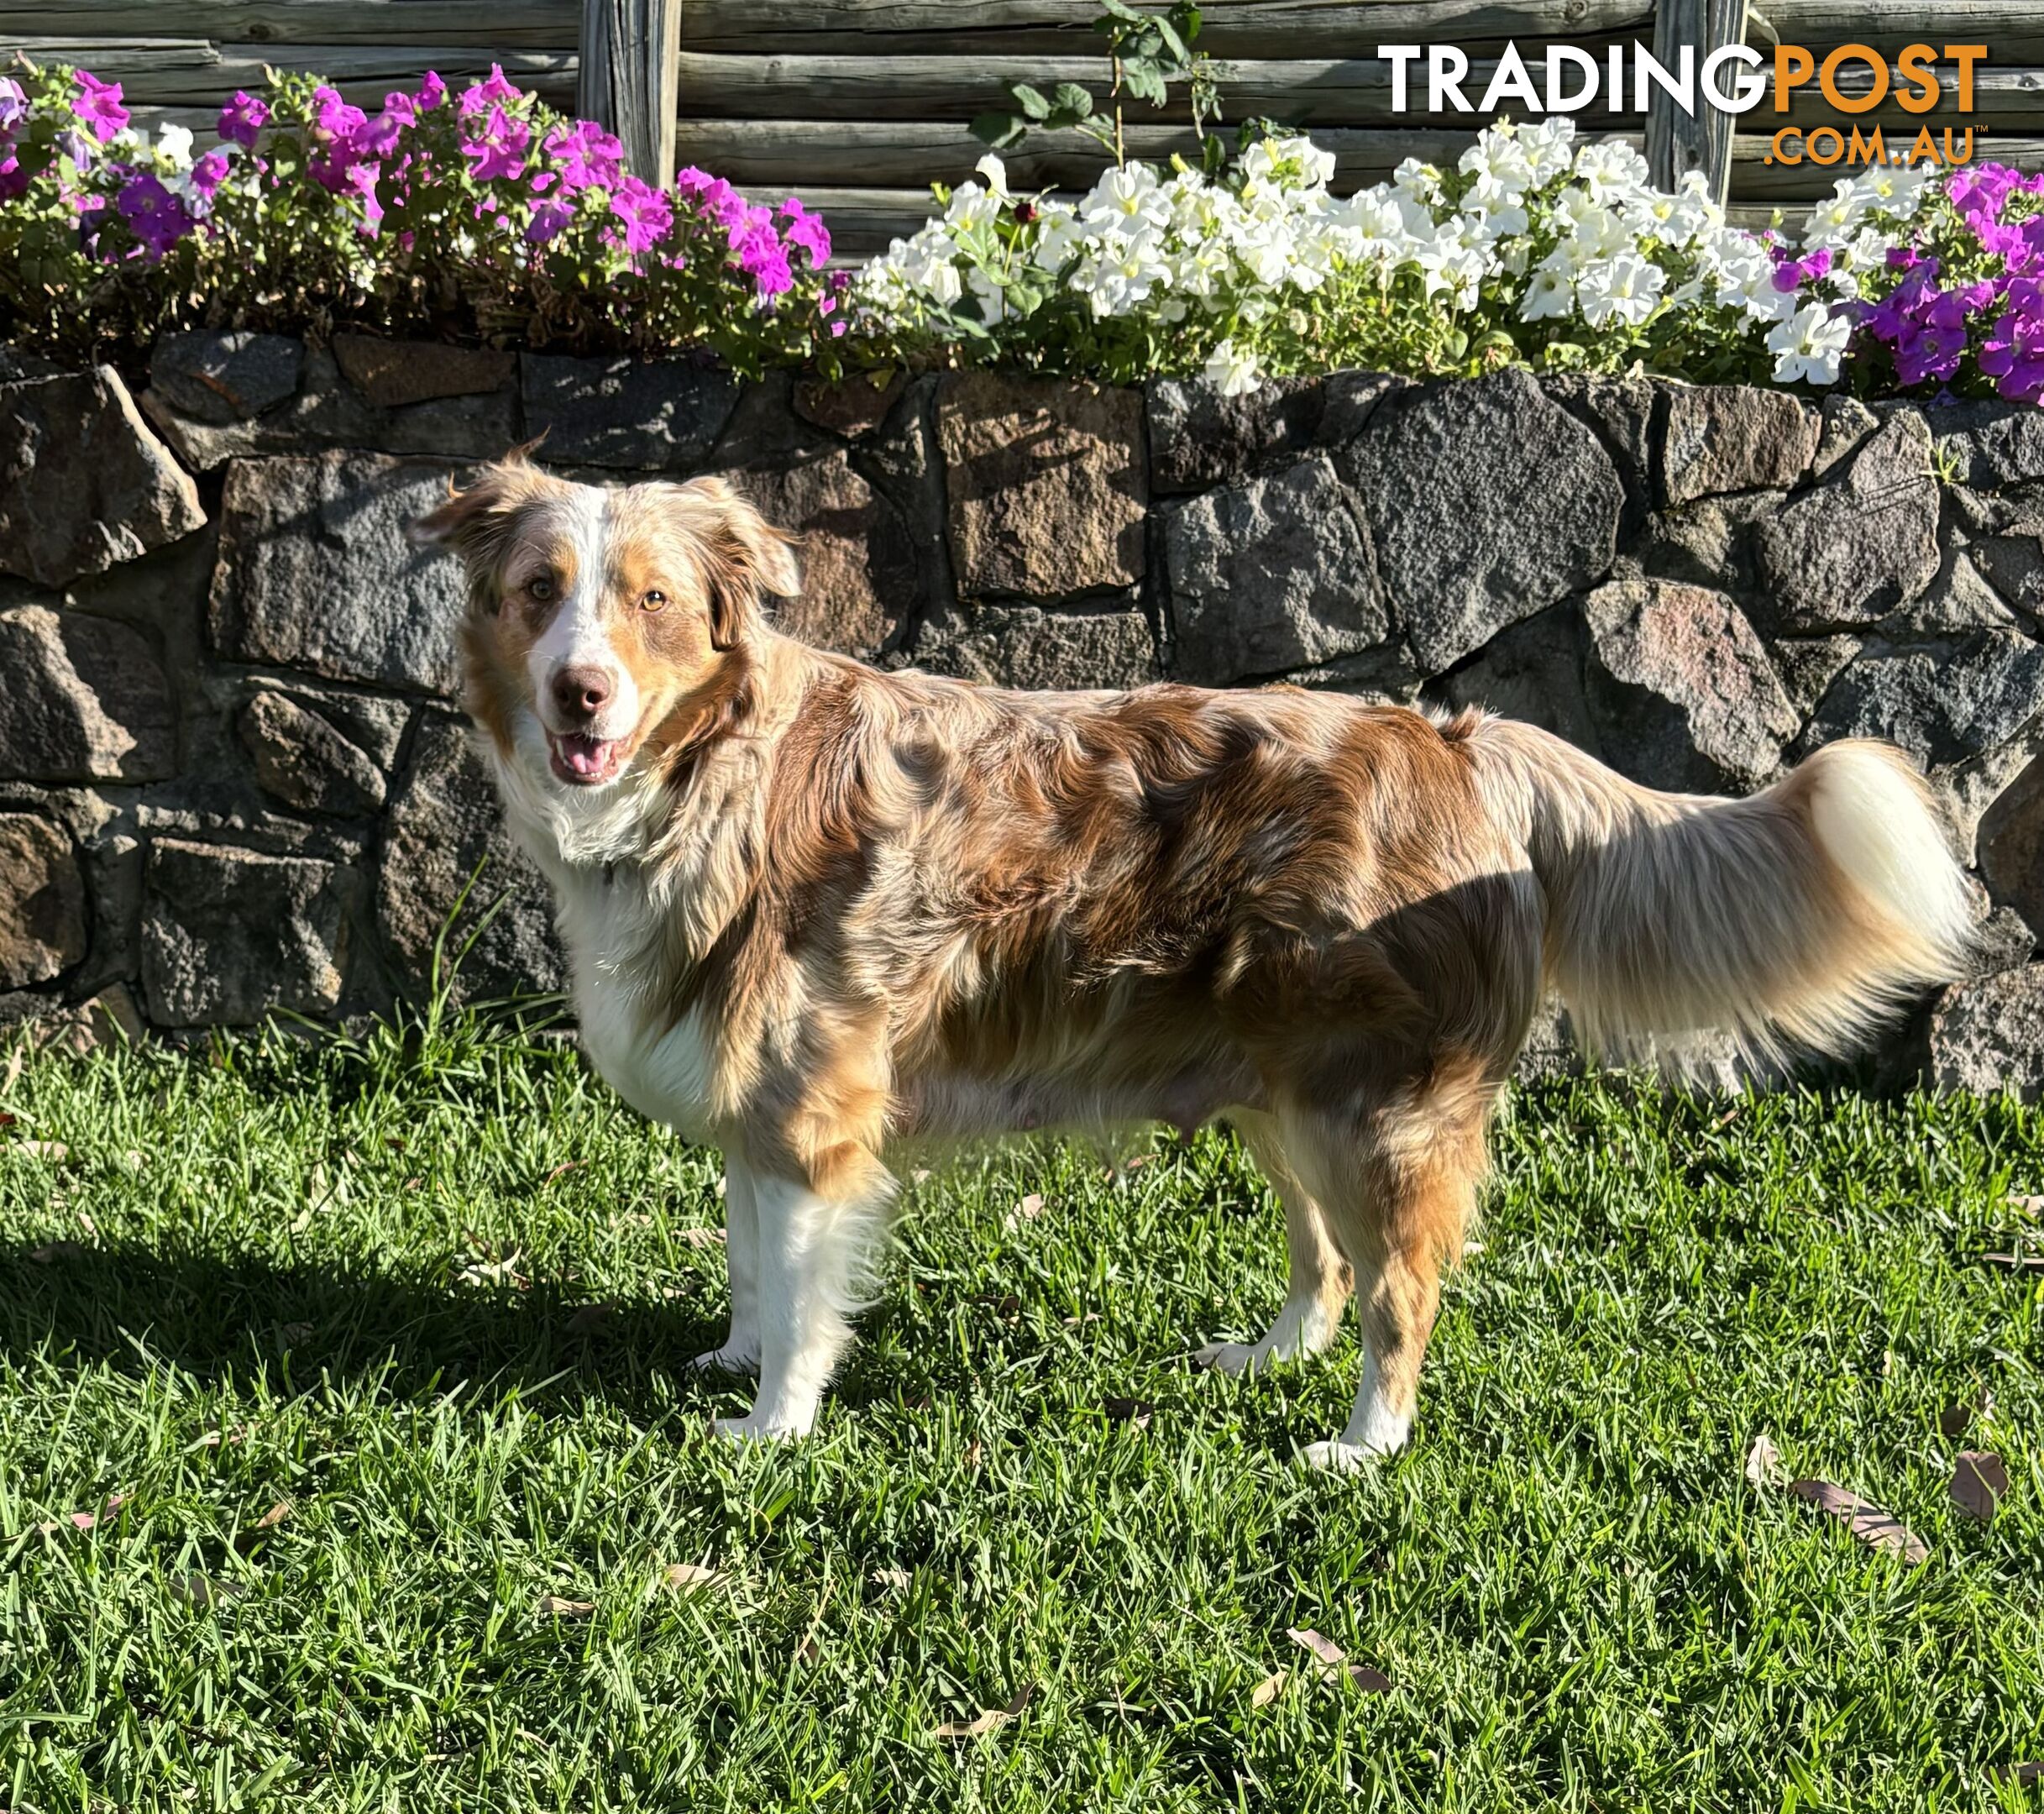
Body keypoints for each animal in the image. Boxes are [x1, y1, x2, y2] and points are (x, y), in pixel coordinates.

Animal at [418, 454, 1978, 1472]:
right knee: (1326, 1264)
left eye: (653, 600)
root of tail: (1452, 738)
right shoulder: (754, 1103)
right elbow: (750, 1265)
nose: (579, 694)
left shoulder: (815, 1114)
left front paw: (768, 1431)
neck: (710, 770)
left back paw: (1361, 1446)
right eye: (539, 589)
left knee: (1402, 1293)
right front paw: (730, 1364)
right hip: (1277, 1091)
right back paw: (1267, 1358)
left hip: (1377, 1111)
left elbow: (805, 1298)